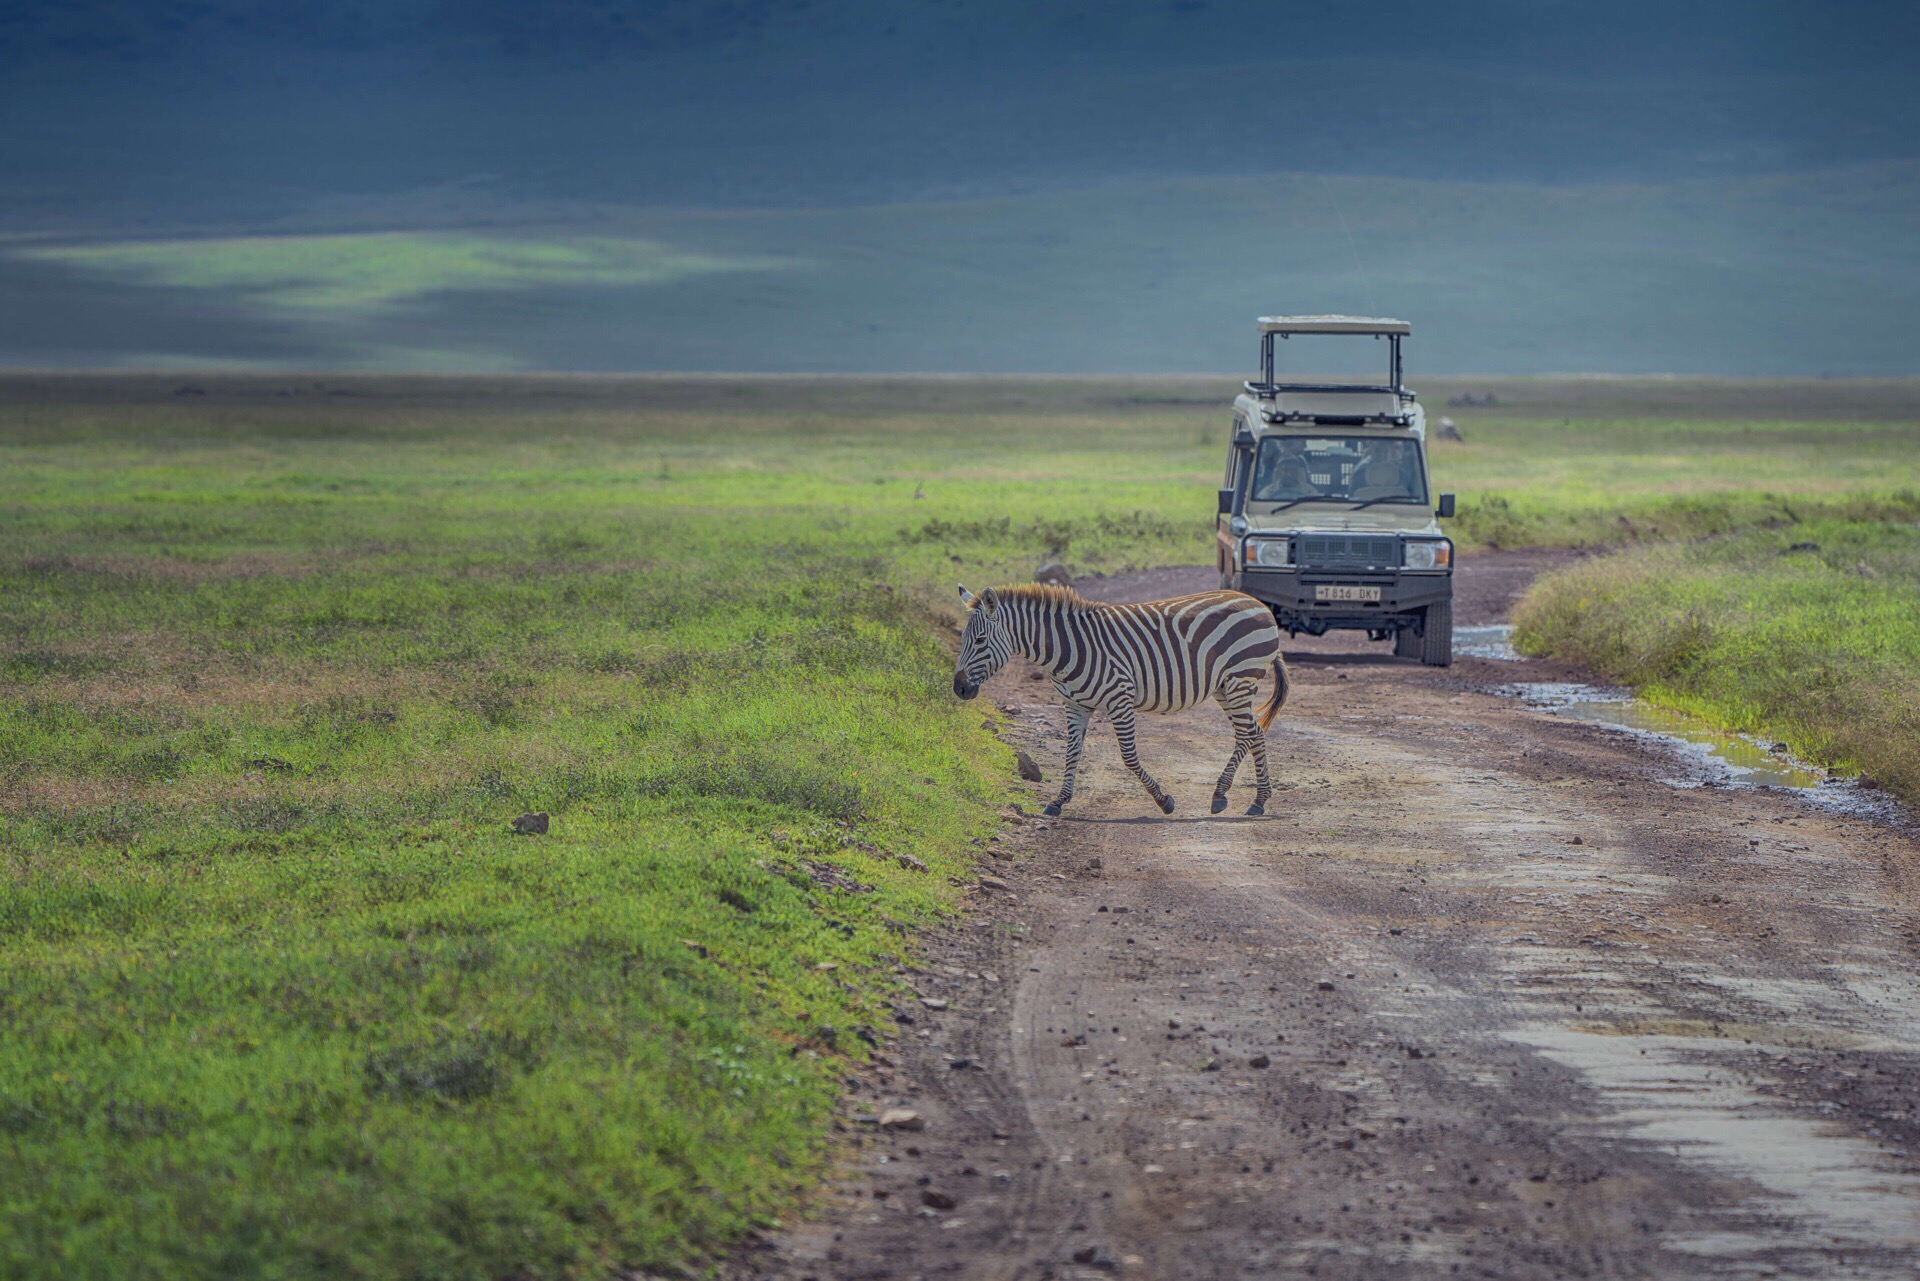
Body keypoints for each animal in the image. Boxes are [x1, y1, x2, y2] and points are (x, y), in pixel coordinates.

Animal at [948, 587, 1282, 818]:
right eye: (963, 639)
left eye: (979, 641)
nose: (959, 689)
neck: (1068, 648)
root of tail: (1257, 603)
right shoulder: (1075, 705)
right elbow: (1072, 752)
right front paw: (1058, 801)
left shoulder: (1119, 698)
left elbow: (1129, 757)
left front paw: (1164, 801)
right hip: (1225, 686)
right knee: (1254, 732)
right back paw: (1256, 800)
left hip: (1241, 677)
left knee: (1246, 734)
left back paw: (1226, 795)